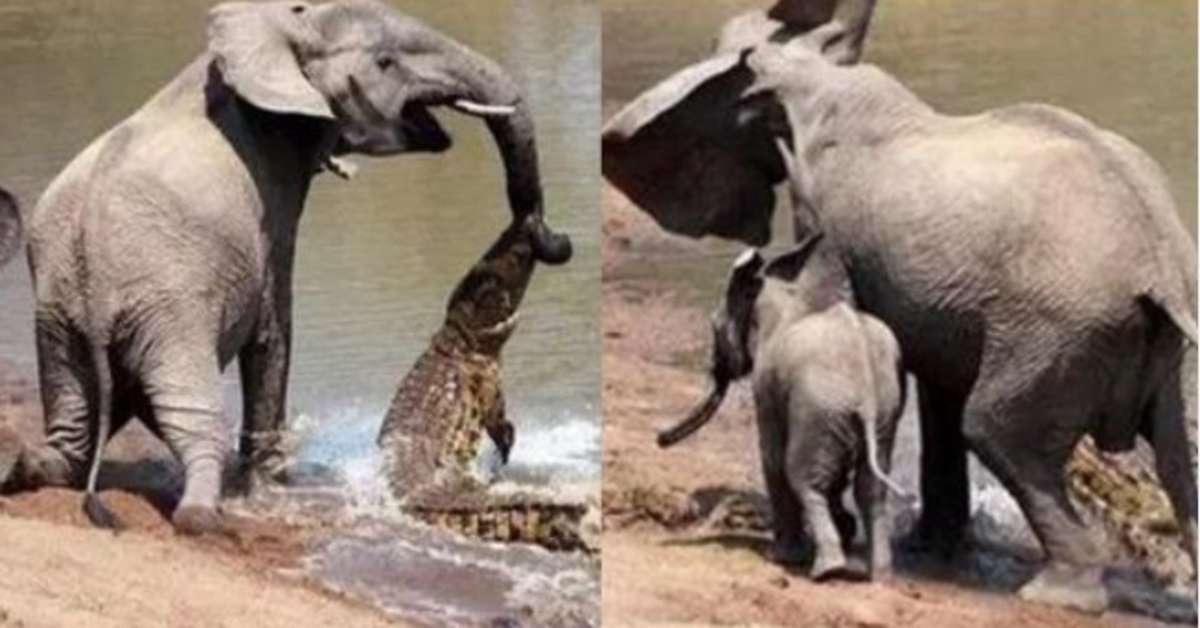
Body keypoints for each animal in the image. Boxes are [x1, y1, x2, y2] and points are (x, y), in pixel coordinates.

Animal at [10, 0, 573, 535]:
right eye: (385, 62)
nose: (553, 238)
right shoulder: (271, 191)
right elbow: (273, 322)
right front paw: (274, 485)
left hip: (58, 317)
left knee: (72, 421)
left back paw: (26, 468)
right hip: (167, 311)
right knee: (190, 414)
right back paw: (203, 515)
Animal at [658, 234, 909, 581]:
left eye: (713, 327)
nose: (659, 437)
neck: (786, 294)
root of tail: (867, 396)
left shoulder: (766, 384)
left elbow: (773, 458)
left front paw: (781, 557)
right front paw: (842, 527)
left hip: (819, 407)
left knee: (802, 476)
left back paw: (826, 571)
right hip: (882, 413)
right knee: (871, 489)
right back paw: (880, 577)